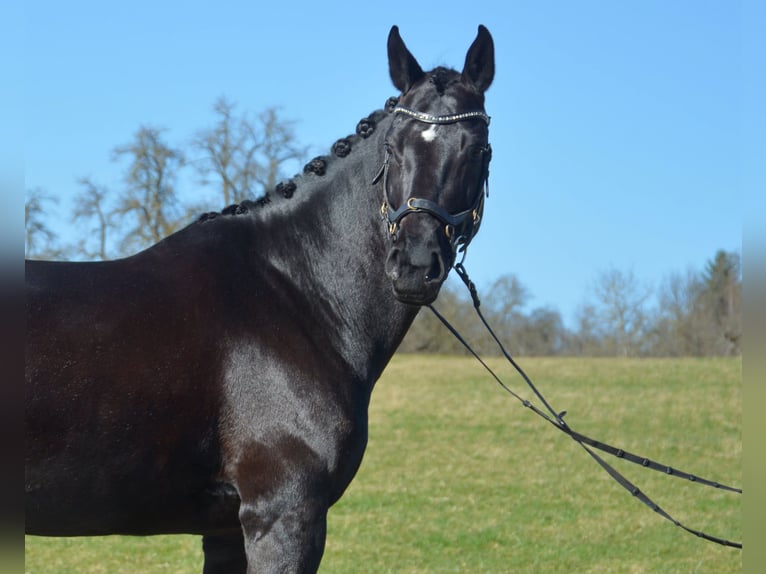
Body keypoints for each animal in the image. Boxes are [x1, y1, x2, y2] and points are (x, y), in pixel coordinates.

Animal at [25, 25, 494, 573]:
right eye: (393, 149)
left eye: (477, 150)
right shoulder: (284, 514)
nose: (416, 265)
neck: (294, 292)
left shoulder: (227, 528)